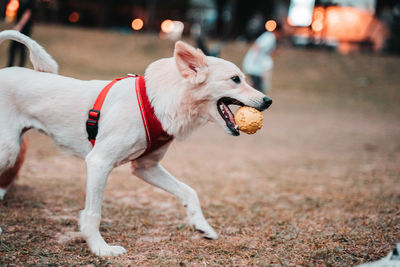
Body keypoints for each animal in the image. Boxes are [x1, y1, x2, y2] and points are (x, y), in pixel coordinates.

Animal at [0, 30, 272, 258]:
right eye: (235, 79)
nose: (268, 101)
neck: (155, 101)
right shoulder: (99, 163)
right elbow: (93, 214)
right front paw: (101, 249)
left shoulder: (145, 167)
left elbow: (188, 191)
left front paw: (202, 226)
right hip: (9, 149)